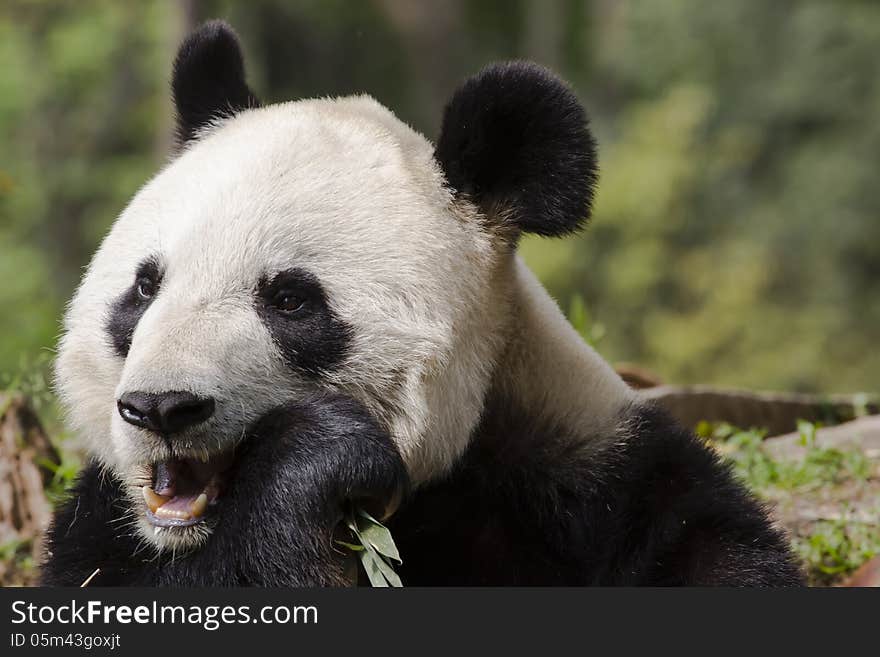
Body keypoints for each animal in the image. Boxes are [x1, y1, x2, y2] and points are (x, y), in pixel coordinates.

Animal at [41, 20, 800, 588]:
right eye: (145, 287)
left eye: (291, 300)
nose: (162, 407)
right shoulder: (102, 533)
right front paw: (320, 460)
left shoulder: (604, 485)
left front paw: (316, 455)